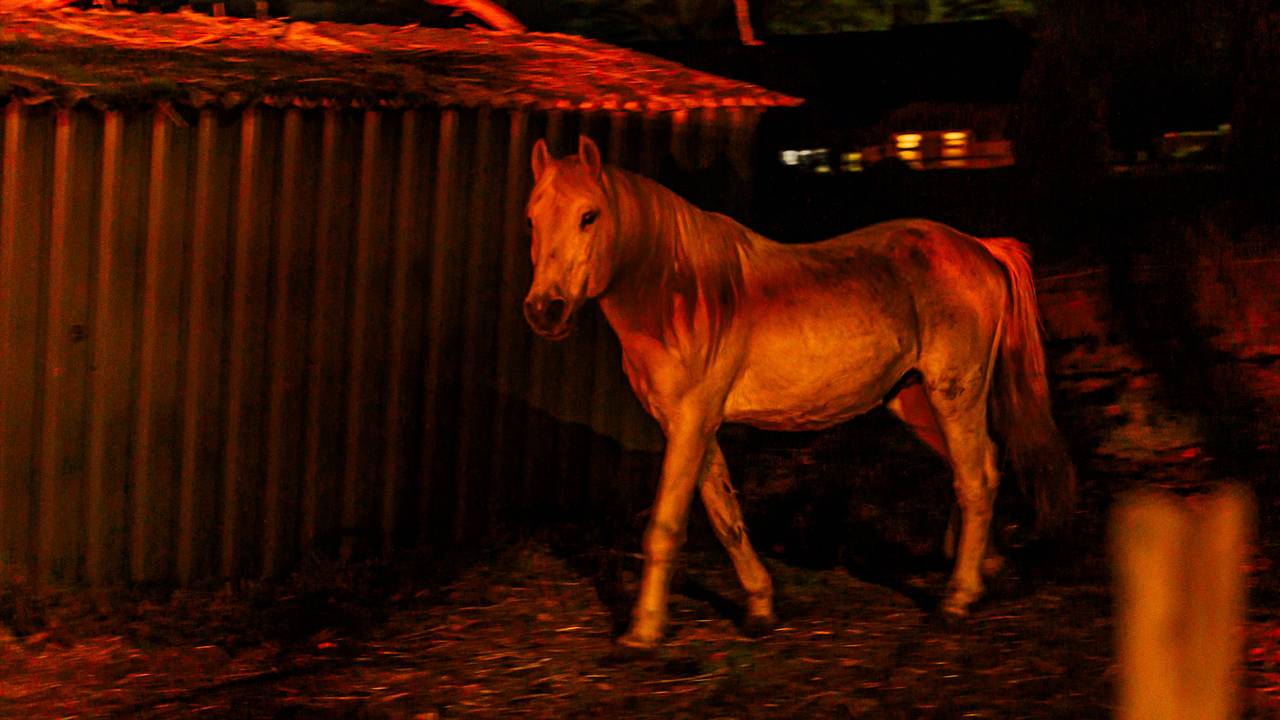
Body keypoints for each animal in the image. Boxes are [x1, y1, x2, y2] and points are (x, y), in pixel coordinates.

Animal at [523, 135, 1076, 649]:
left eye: (589, 216)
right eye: (532, 219)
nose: (545, 309)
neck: (678, 293)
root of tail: (979, 248)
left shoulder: (690, 422)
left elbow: (665, 527)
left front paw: (642, 632)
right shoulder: (693, 427)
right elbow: (726, 516)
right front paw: (760, 607)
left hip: (955, 393)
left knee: (975, 479)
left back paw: (957, 600)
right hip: (916, 400)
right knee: (983, 465)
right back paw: (981, 566)